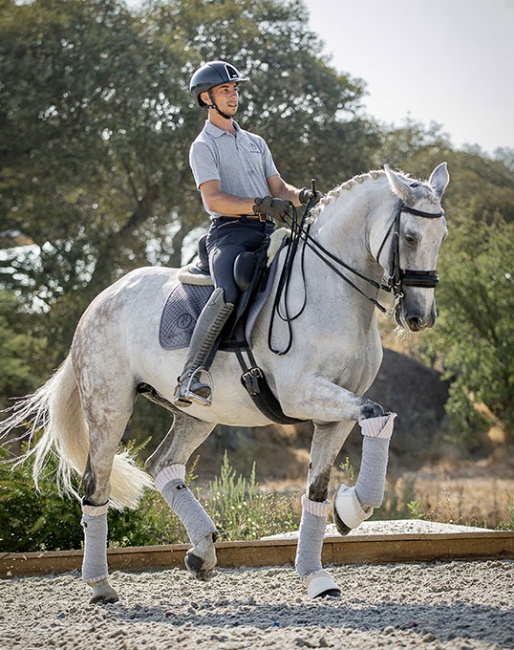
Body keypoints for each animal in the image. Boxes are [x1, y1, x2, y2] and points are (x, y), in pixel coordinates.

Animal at [0, 163, 446, 604]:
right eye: (409, 237)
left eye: (441, 236)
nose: (419, 318)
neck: (331, 292)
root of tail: (101, 300)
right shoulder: (302, 395)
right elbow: (375, 413)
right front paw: (349, 512)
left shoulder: (335, 412)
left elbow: (322, 484)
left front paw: (324, 562)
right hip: (109, 407)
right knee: (96, 486)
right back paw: (100, 585)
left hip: (197, 415)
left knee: (162, 464)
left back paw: (201, 552)